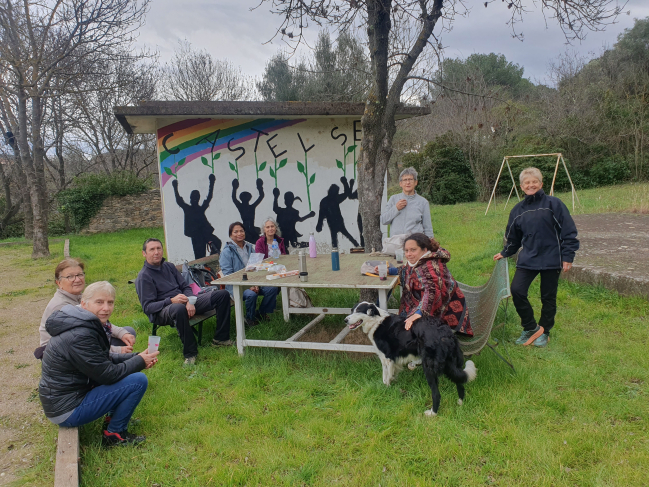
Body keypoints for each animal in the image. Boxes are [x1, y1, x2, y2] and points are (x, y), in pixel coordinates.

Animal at [344, 302, 476, 416]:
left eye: (358, 311)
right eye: (351, 310)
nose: (345, 320)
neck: (376, 321)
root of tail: (446, 334)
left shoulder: (386, 357)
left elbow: (385, 377)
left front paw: (386, 389)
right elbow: (392, 374)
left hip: (429, 368)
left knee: (436, 394)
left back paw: (432, 413)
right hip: (454, 363)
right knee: (460, 382)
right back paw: (460, 403)